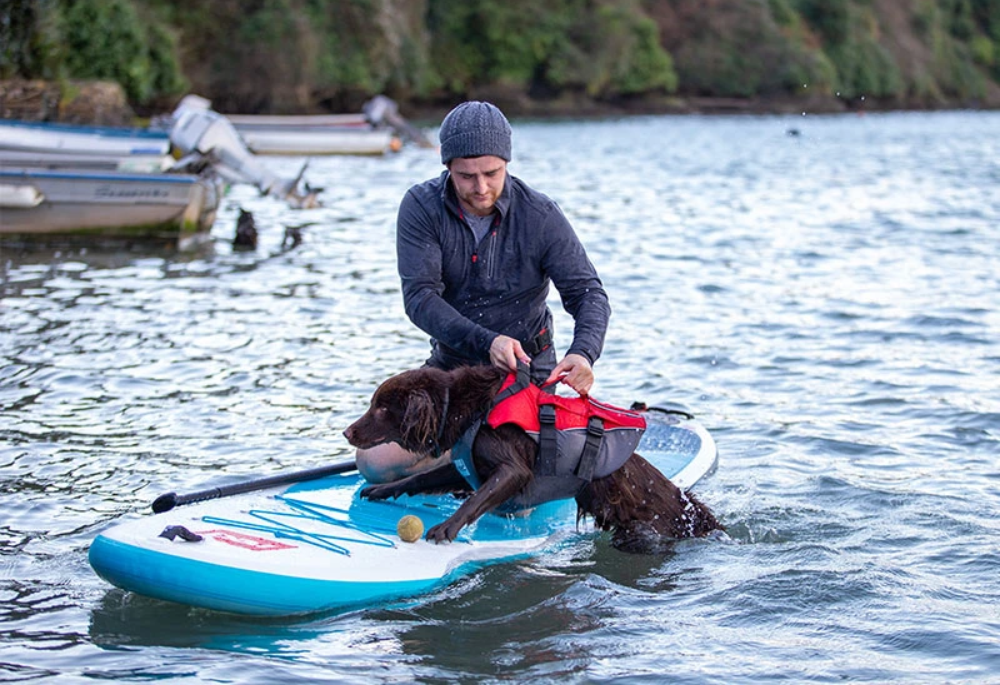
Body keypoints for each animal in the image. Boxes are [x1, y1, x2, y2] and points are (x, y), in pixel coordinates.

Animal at [344, 364, 720, 552]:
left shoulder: (513, 470)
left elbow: (475, 501)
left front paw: (446, 528)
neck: (466, 407)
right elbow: (421, 477)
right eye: (373, 403)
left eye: (382, 408)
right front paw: (381, 491)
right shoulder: (467, 463)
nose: (347, 433)